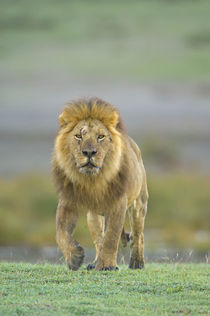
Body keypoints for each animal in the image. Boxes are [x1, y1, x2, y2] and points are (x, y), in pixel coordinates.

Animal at [51, 97, 148, 270]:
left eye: (101, 136)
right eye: (78, 136)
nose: (89, 152)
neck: (92, 180)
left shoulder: (118, 203)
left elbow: (111, 237)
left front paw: (107, 266)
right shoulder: (67, 201)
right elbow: (61, 232)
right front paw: (74, 258)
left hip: (139, 204)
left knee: (138, 235)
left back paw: (137, 263)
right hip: (93, 216)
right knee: (98, 240)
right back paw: (94, 263)